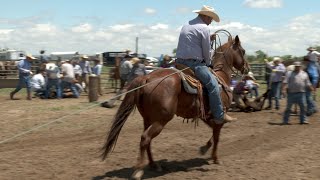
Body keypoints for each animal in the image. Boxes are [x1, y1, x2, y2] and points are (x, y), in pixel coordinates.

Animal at [101, 34, 249, 179]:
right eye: (243, 51)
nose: (247, 68)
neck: (221, 76)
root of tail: (146, 78)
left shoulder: (205, 115)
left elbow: (213, 132)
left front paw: (204, 148)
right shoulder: (219, 113)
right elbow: (217, 135)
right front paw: (215, 158)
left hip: (148, 119)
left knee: (147, 140)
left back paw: (154, 165)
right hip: (162, 119)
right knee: (145, 138)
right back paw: (138, 170)